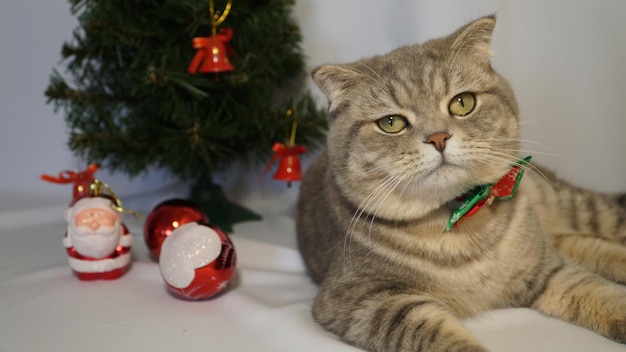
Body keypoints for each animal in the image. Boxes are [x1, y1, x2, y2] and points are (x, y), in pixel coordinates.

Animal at [294, 15, 624, 350]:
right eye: (391, 123)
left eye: (462, 103)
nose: (438, 137)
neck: (463, 219)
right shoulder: (361, 302)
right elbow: (442, 339)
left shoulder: (546, 268)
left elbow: (602, 294)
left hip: (577, 209)